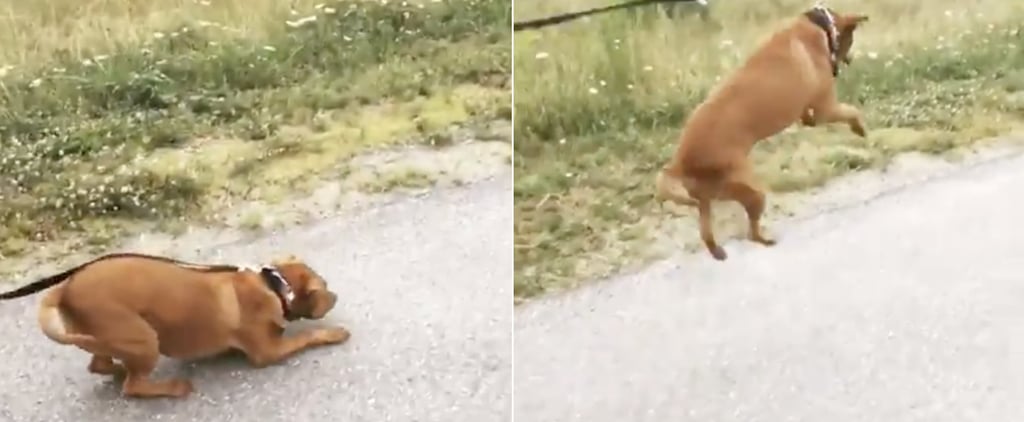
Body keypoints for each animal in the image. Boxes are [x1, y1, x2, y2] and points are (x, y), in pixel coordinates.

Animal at [0, 251, 348, 397]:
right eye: (324, 286)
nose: (336, 296)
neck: (274, 285)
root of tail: (65, 289)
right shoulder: (268, 352)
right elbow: (308, 336)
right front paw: (332, 333)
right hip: (143, 338)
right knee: (132, 387)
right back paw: (171, 388)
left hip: (110, 335)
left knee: (100, 363)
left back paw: (118, 369)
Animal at [659, 4, 868, 259]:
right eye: (851, 39)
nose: (849, 60)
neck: (818, 26)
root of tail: (680, 162)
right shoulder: (826, 108)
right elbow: (851, 112)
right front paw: (859, 128)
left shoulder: (811, 109)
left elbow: (808, 117)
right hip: (751, 191)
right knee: (751, 232)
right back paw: (766, 239)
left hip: (707, 198)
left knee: (706, 231)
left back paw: (718, 251)